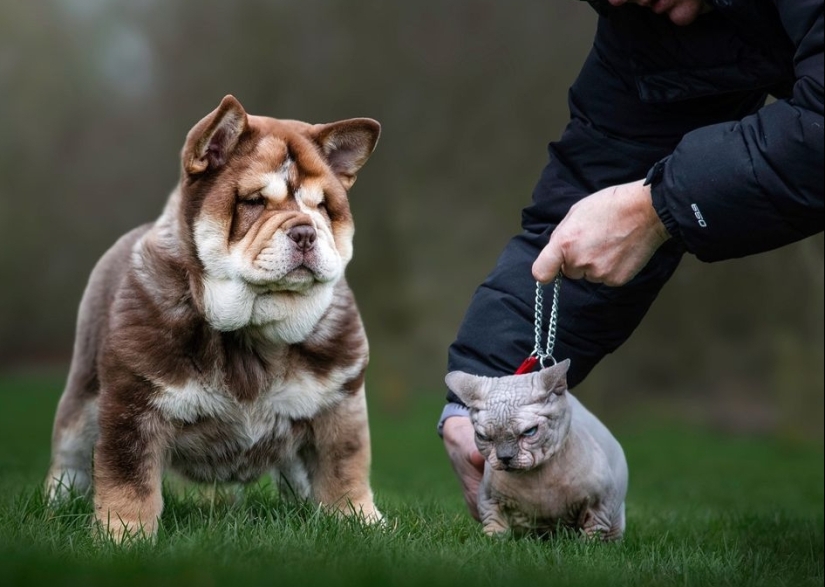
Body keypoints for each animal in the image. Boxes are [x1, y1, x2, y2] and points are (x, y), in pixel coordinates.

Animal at [49, 95, 386, 544]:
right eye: (255, 202)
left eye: (322, 208)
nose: (306, 231)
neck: (253, 333)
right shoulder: (133, 406)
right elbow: (128, 478)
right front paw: (123, 536)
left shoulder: (339, 400)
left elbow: (345, 469)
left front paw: (361, 522)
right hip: (82, 396)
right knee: (69, 455)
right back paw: (58, 501)